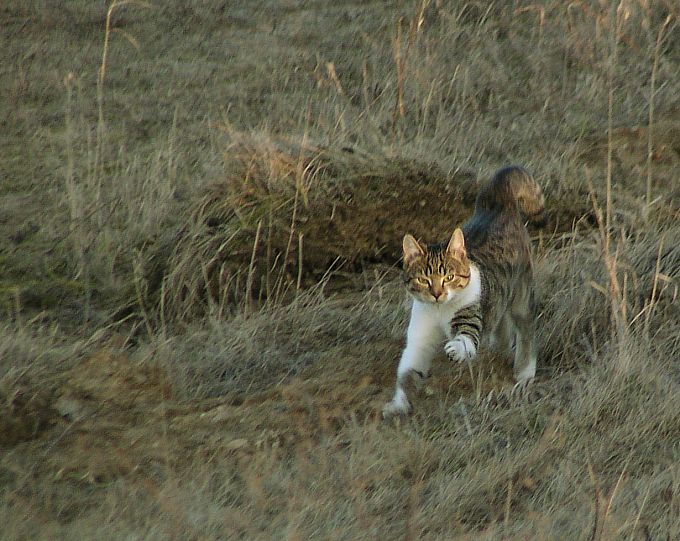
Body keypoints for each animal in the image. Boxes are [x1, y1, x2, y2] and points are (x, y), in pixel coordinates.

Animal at [382, 165, 548, 418]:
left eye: (449, 277)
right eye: (423, 280)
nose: (437, 294)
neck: (439, 311)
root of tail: (498, 203)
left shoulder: (470, 317)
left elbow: (466, 338)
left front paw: (456, 348)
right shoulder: (420, 339)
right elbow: (407, 370)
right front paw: (399, 403)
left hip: (522, 294)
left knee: (526, 331)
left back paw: (524, 373)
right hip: (499, 300)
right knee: (501, 325)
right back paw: (499, 351)